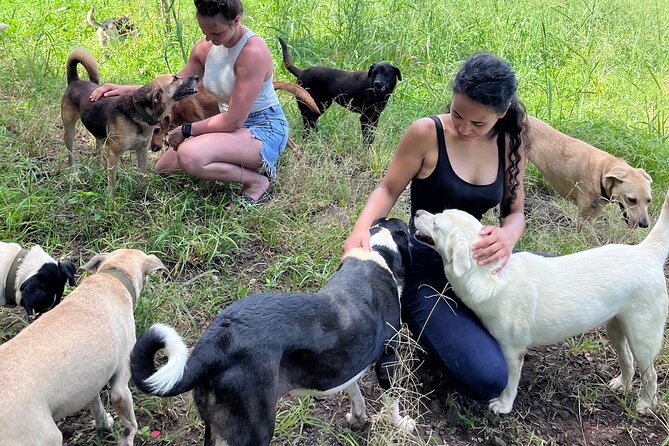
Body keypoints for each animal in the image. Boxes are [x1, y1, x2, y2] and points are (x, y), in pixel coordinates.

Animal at [0, 247, 166, 446]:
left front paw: (104, 425)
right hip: (48, 437)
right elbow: (130, 424)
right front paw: (128, 436)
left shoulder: (91, 382)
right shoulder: (120, 387)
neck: (112, 278)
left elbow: (97, 408)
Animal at [129, 219, 412, 446]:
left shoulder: (347, 361)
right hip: (256, 431)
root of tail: (215, 343)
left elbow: (354, 391)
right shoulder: (388, 359)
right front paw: (401, 424)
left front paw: (358, 418)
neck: (376, 255)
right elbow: (392, 400)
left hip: (215, 426)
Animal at [412, 190, 668, 416]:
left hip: (643, 337)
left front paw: (503, 405)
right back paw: (621, 385)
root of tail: (646, 252)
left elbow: (510, 382)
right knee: (627, 361)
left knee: (651, 374)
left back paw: (646, 404)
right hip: (616, 327)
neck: (490, 274)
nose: (418, 212)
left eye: (436, 223)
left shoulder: (512, 351)